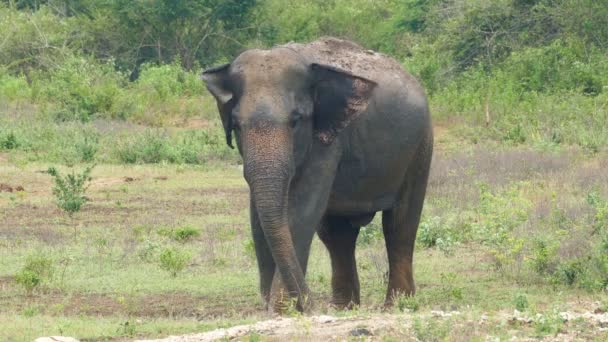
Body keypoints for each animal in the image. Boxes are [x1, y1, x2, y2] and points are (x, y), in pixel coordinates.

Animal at [203, 36, 432, 312]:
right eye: (236, 125)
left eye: (296, 121)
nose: (310, 303)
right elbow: (258, 215)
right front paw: (275, 308)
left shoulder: (328, 141)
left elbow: (302, 209)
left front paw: (282, 310)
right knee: (338, 235)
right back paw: (344, 308)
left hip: (419, 146)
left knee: (399, 224)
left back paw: (396, 306)